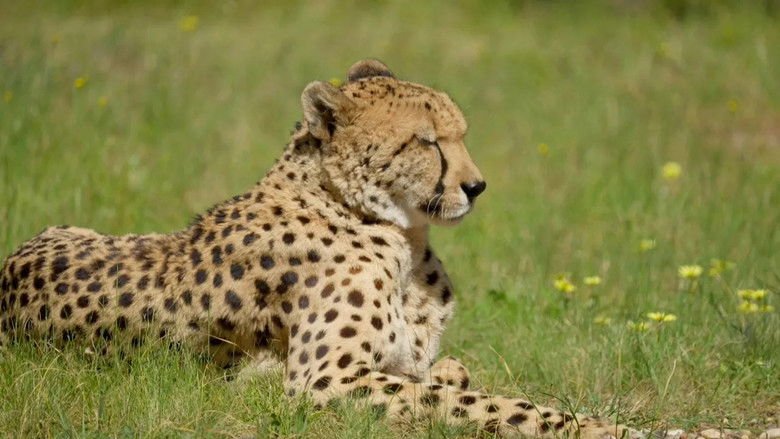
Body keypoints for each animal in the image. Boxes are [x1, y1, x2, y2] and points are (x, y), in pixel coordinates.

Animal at [0, 59, 636, 438]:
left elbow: (450, 375)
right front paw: (605, 428)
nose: (476, 187)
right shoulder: (324, 381)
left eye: (461, 135)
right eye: (427, 142)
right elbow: (497, 405)